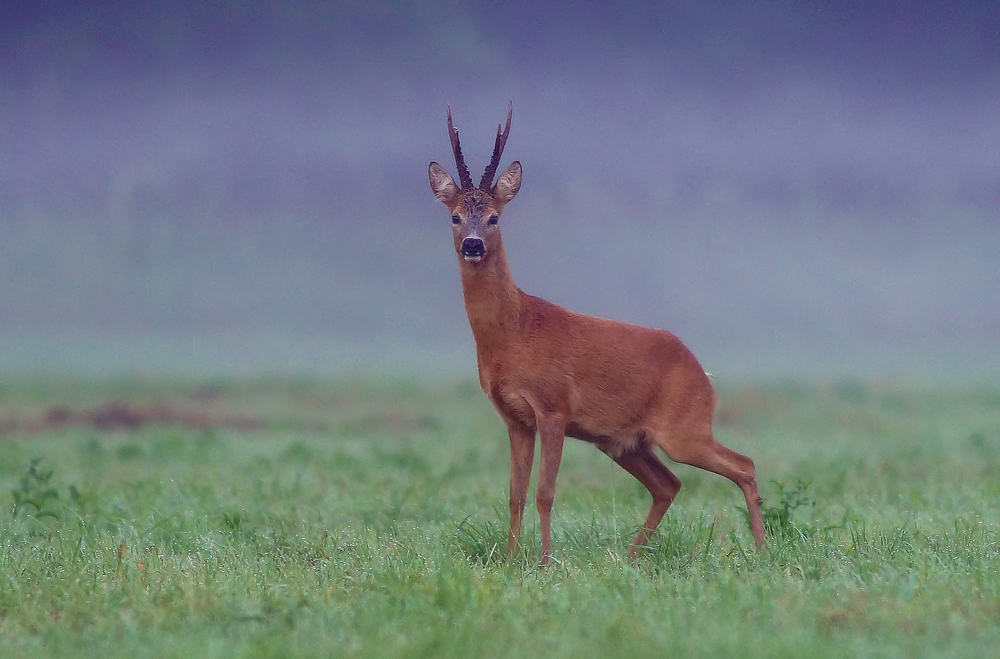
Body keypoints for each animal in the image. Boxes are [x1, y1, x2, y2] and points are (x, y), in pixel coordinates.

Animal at [428, 104, 764, 568]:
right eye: (455, 216)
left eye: (495, 217)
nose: (473, 245)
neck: (514, 332)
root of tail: (704, 375)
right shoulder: (515, 418)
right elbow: (515, 494)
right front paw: (512, 560)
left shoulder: (554, 407)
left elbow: (545, 493)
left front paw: (545, 562)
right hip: (624, 443)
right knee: (669, 484)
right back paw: (630, 558)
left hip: (684, 427)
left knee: (744, 464)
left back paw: (763, 551)